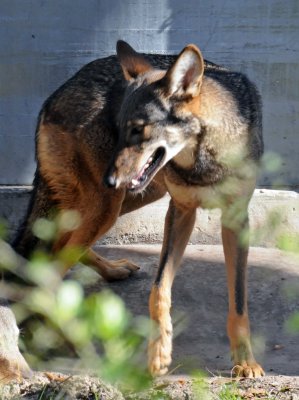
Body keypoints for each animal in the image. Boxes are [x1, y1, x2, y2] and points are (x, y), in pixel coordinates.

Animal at [10, 39, 264, 378]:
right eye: (120, 130)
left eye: (138, 130)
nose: (109, 179)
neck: (204, 159)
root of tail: (53, 96)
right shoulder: (180, 211)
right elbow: (159, 290)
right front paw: (159, 354)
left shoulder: (231, 219)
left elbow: (237, 301)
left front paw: (245, 361)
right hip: (110, 205)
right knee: (49, 268)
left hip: (126, 199)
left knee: (58, 251)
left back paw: (110, 271)